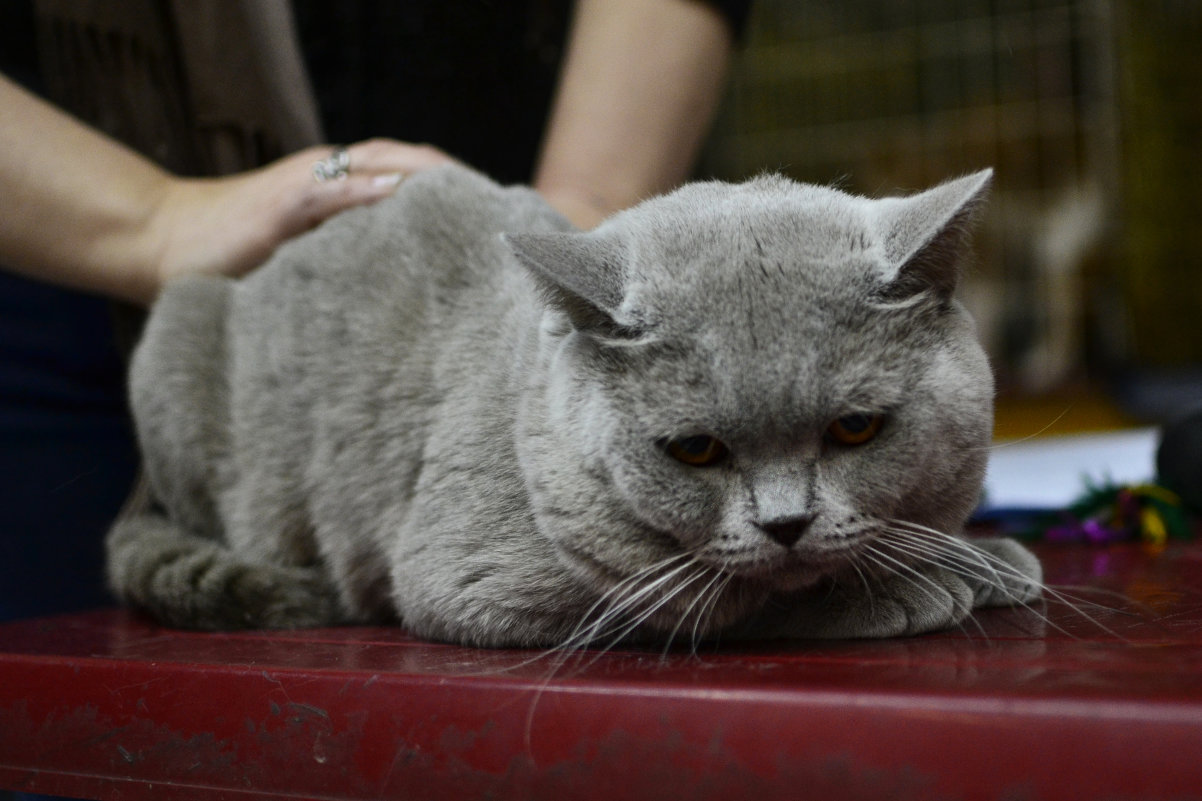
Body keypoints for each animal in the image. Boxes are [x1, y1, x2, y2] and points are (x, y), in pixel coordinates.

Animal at [105, 164, 1043, 644]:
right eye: (696, 449)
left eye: (855, 428)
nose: (787, 524)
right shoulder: (470, 574)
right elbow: (728, 601)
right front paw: (919, 587)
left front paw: (982, 556)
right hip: (170, 351)